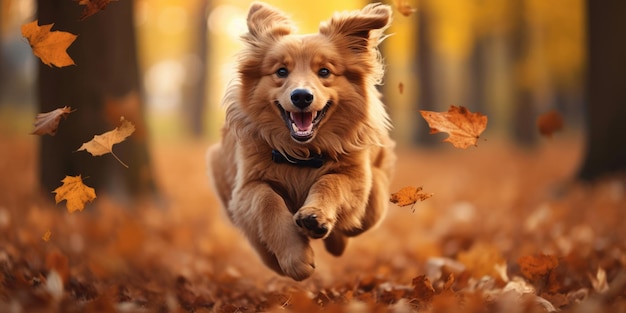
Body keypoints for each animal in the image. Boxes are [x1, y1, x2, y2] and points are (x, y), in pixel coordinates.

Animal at [206, 1, 394, 280]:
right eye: (281, 71)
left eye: (324, 71)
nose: (302, 96)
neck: (303, 155)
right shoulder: (246, 186)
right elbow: (266, 201)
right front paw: (295, 257)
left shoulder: (356, 178)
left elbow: (330, 182)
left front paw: (315, 217)